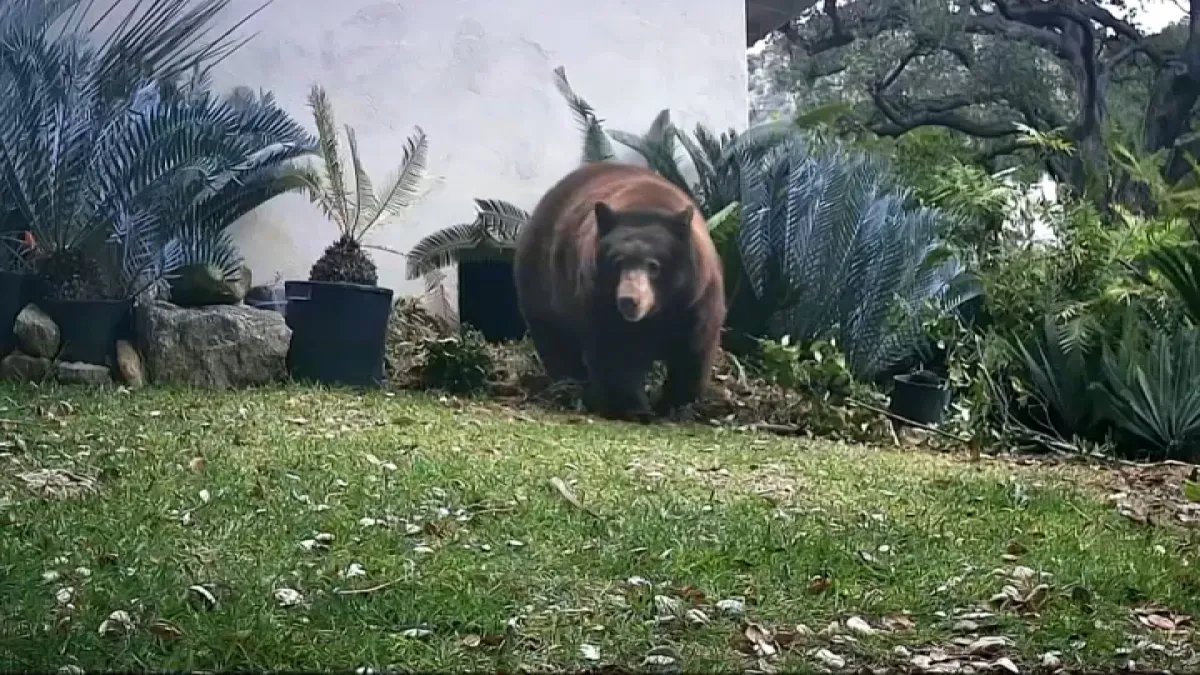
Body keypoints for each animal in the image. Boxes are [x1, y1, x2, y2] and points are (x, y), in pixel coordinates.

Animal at [513, 161, 726, 422]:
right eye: (617, 263)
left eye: (654, 266)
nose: (629, 301)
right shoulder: (597, 298)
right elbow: (615, 354)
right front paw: (634, 408)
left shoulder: (696, 298)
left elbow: (694, 349)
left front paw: (672, 405)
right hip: (540, 285)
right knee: (555, 341)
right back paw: (572, 388)